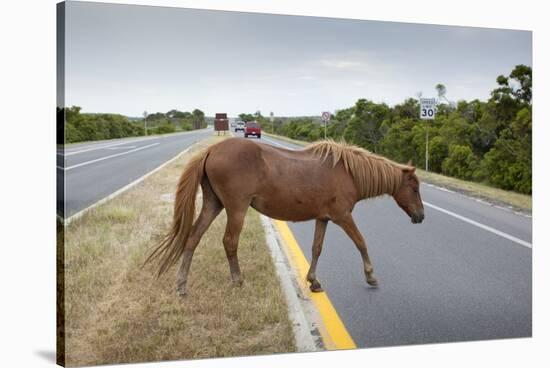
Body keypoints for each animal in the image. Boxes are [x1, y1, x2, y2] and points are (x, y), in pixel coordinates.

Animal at [144, 137, 424, 296]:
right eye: (414, 188)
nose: (420, 216)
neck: (348, 172)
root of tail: (211, 150)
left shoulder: (323, 218)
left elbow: (317, 248)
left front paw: (313, 281)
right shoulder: (342, 217)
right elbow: (361, 242)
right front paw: (370, 275)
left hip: (214, 205)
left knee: (193, 238)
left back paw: (181, 285)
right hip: (236, 209)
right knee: (230, 242)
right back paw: (237, 280)